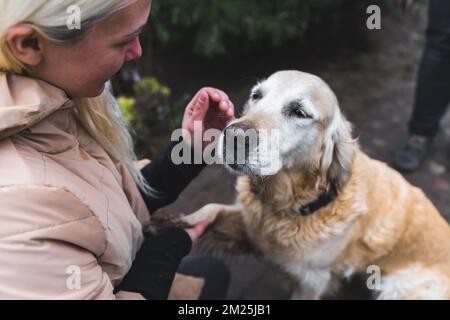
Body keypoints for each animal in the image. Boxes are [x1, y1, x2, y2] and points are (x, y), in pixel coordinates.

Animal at [178, 70, 450, 300]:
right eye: (256, 95)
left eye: (299, 112)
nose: (234, 136)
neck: (288, 206)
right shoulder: (251, 224)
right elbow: (211, 209)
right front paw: (181, 222)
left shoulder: (312, 281)